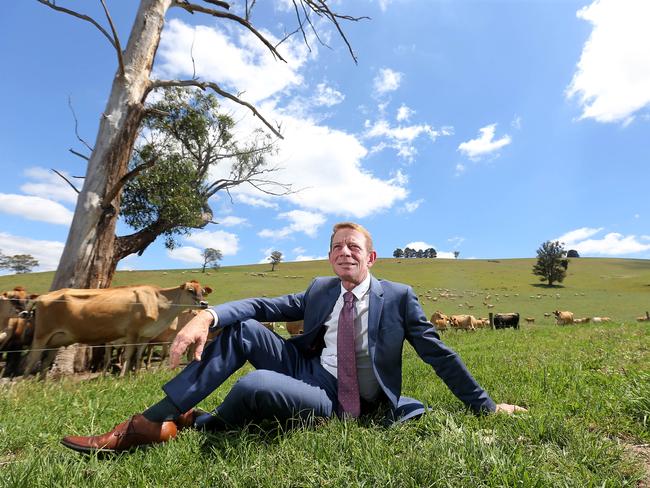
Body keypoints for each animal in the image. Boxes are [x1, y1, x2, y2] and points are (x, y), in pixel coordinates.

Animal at [22, 280, 210, 380]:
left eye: (203, 292)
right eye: (190, 290)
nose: (204, 304)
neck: (159, 303)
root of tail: (43, 296)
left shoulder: (145, 336)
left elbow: (138, 355)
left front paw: (135, 376)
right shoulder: (132, 332)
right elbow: (128, 355)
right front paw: (121, 377)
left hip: (56, 339)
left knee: (46, 360)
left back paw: (43, 383)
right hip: (41, 335)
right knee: (32, 358)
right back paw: (24, 384)